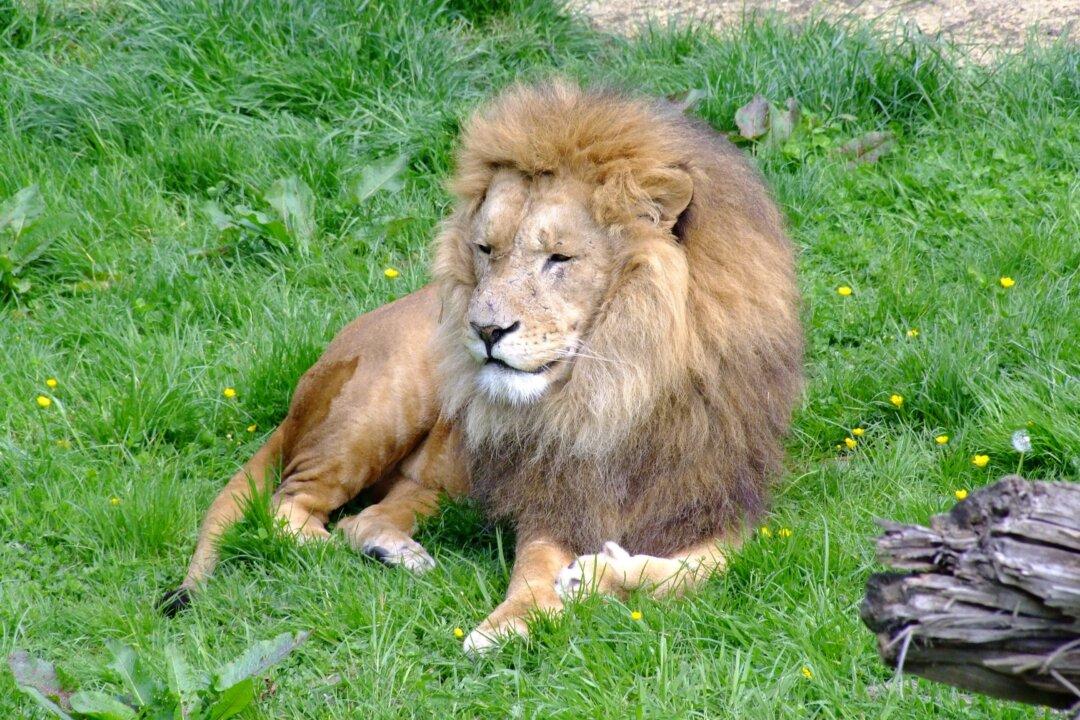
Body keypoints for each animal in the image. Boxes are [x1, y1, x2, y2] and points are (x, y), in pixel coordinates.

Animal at [162, 80, 803, 655]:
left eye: (559, 258)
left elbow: (703, 571)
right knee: (286, 511)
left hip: (443, 483)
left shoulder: (718, 504)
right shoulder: (551, 500)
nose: (486, 330)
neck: (616, 389)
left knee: (363, 516)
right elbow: (535, 572)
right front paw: (509, 624)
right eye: (486, 249)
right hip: (382, 402)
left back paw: (393, 552)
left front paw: (597, 577)